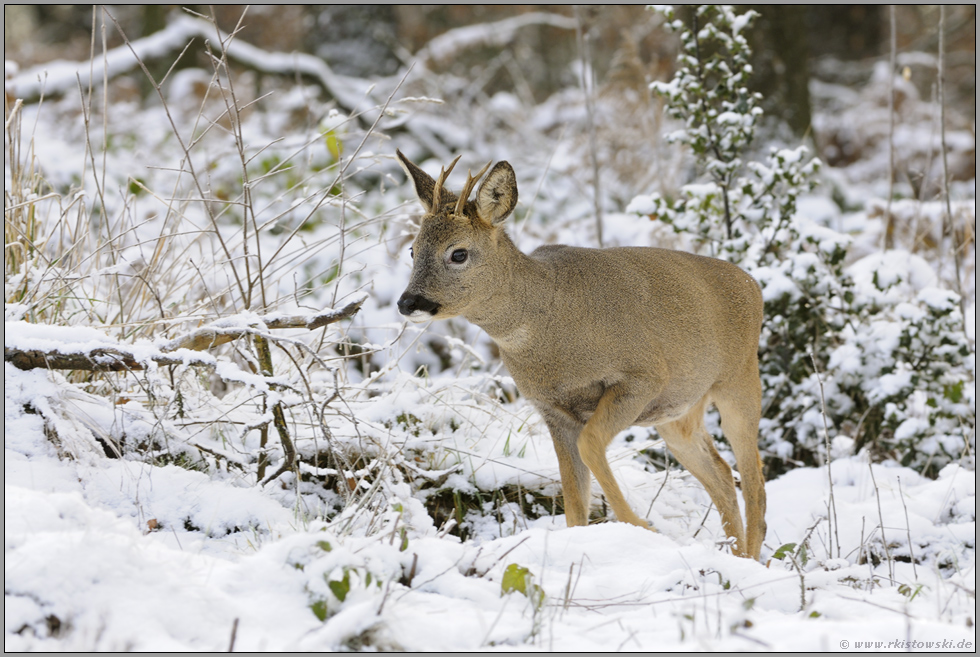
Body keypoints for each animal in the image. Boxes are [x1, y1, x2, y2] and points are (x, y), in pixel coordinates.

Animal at [394, 150, 768, 560]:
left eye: (458, 253)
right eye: (412, 249)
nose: (408, 302)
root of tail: (752, 284)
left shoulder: (643, 376)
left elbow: (591, 446)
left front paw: (642, 526)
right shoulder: (553, 410)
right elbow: (574, 502)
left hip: (739, 380)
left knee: (754, 481)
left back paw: (753, 560)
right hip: (679, 412)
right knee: (722, 474)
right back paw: (735, 554)